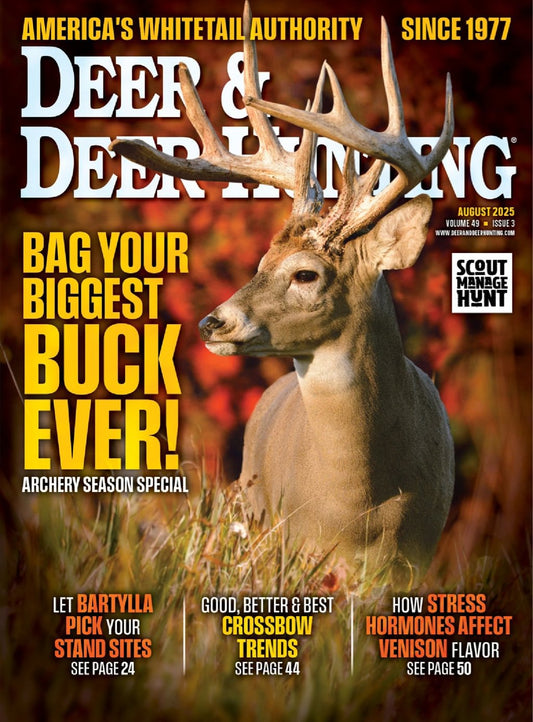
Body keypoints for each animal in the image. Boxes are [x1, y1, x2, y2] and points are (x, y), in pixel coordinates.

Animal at [111, 2, 455, 581]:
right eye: (260, 262)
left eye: (306, 274)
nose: (213, 322)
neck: (362, 506)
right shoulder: (297, 546)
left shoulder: (417, 556)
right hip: (253, 513)